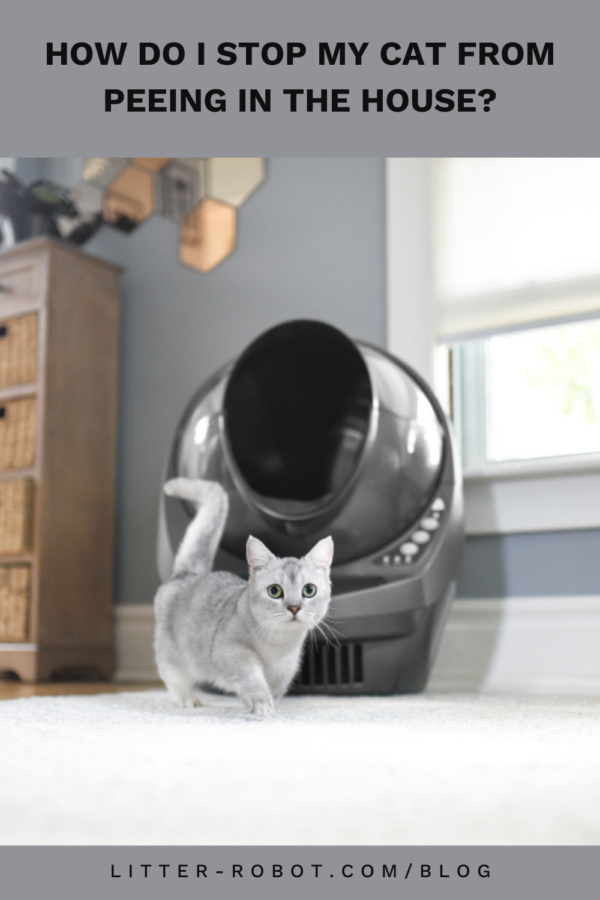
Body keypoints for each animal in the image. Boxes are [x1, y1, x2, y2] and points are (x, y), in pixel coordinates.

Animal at [154, 478, 332, 716]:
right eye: (275, 591)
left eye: (309, 590)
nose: (294, 608)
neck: (278, 645)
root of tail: (189, 574)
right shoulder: (230, 650)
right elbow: (251, 678)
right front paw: (262, 704)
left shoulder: (286, 668)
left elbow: (276, 688)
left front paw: (273, 703)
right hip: (173, 653)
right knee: (172, 676)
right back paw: (187, 698)